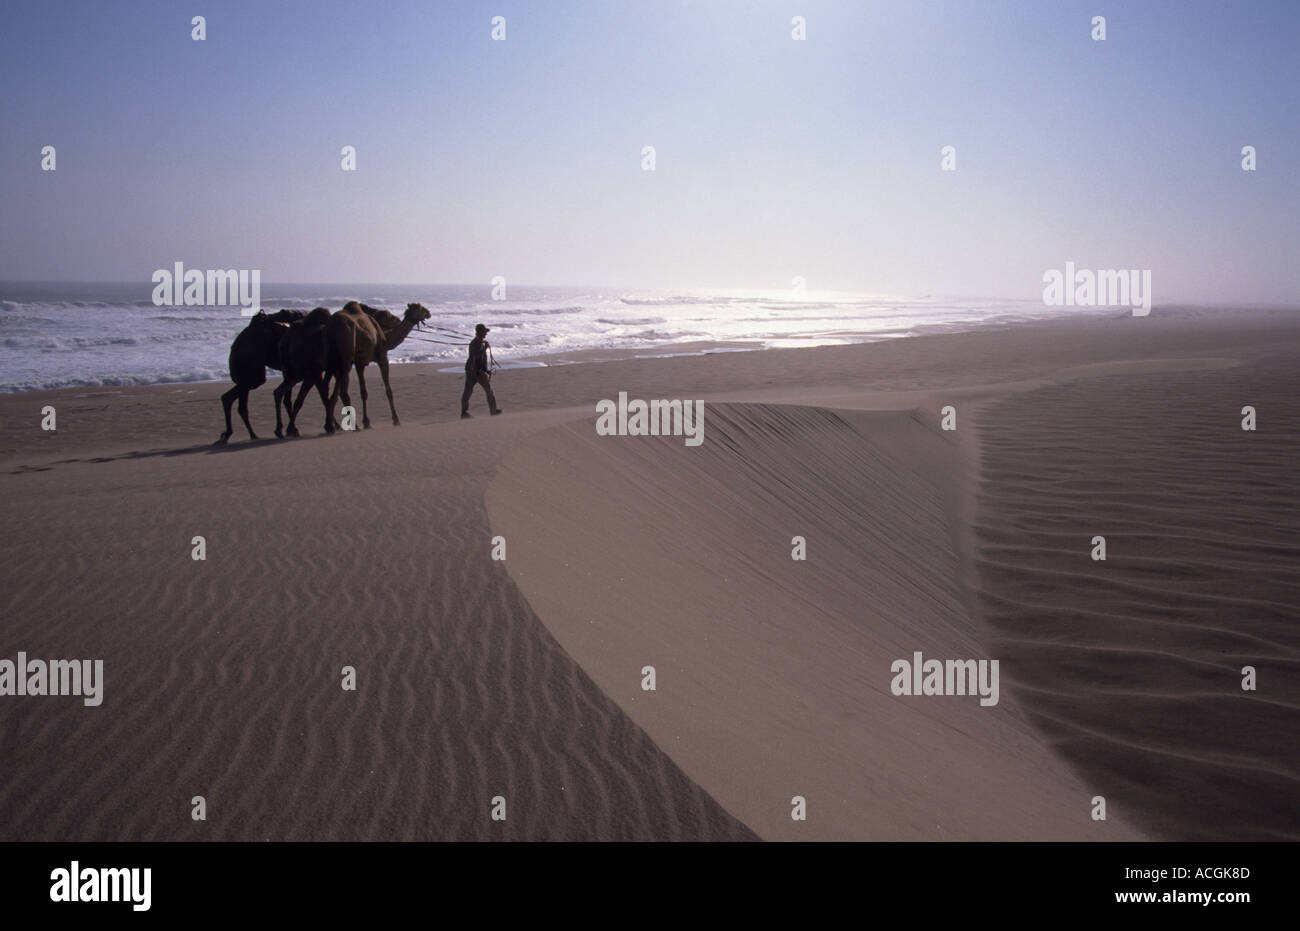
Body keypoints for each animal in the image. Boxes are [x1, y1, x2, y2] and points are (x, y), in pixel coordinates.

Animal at [219, 309, 308, 447]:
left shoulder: (290, 373)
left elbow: (288, 400)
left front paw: (292, 429)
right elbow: (288, 399)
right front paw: (291, 429)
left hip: (251, 373)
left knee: (235, 402)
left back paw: (247, 435)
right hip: (253, 371)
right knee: (233, 399)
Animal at [273, 305, 332, 436]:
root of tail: (284, 342)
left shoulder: (314, 373)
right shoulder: (315, 372)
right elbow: (324, 396)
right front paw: (330, 425)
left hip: (293, 374)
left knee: (279, 392)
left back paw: (281, 429)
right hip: (300, 373)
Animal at [323, 300, 431, 431]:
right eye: (420, 308)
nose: (428, 312)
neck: (385, 339)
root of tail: (332, 327)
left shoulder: (360, 363)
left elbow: (363, 392)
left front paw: (367, 422)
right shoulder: (382, 358)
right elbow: (388, 391)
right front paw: (395, 420)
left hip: (331, 359)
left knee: (327, 387)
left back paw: (330, 425)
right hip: (345, 359)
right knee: (341, 391)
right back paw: (349, 426)